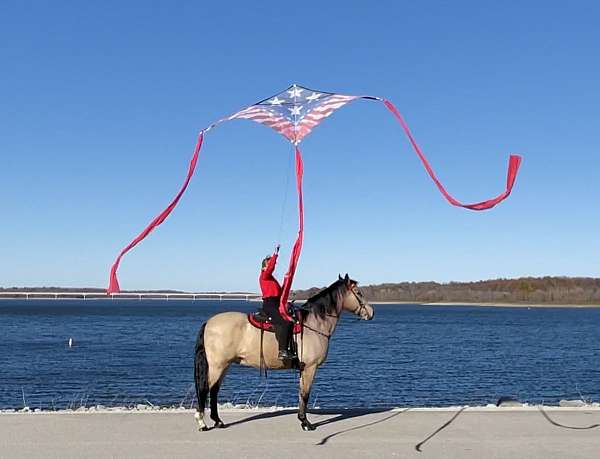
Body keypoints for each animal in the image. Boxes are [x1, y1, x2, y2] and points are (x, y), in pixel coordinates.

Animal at [195, 274, 372, 434]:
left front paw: (302, 420)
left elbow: (301, 393)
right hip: (217, 366)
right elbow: (305, 394)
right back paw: (202, 423)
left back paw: (218, 421)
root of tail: (209, 323)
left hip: (224, 366)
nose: (371, 312)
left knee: (214, 390)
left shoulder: (303, 369)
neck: (313, 324)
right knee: (205, 389)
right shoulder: (310, 367)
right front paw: (306, 423)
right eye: (358, 292)